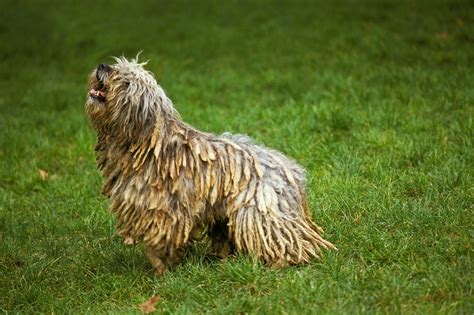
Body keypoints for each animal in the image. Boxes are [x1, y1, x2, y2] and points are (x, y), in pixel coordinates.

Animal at [83, 58, 334, 276]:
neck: (147, 144)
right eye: (117, 66)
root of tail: (292, 172)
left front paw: (162, 270)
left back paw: (282, 262)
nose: (103, 66)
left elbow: (160, 242)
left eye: (126, 81)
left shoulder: (164, 210)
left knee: (284, 239)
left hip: (257, 212)